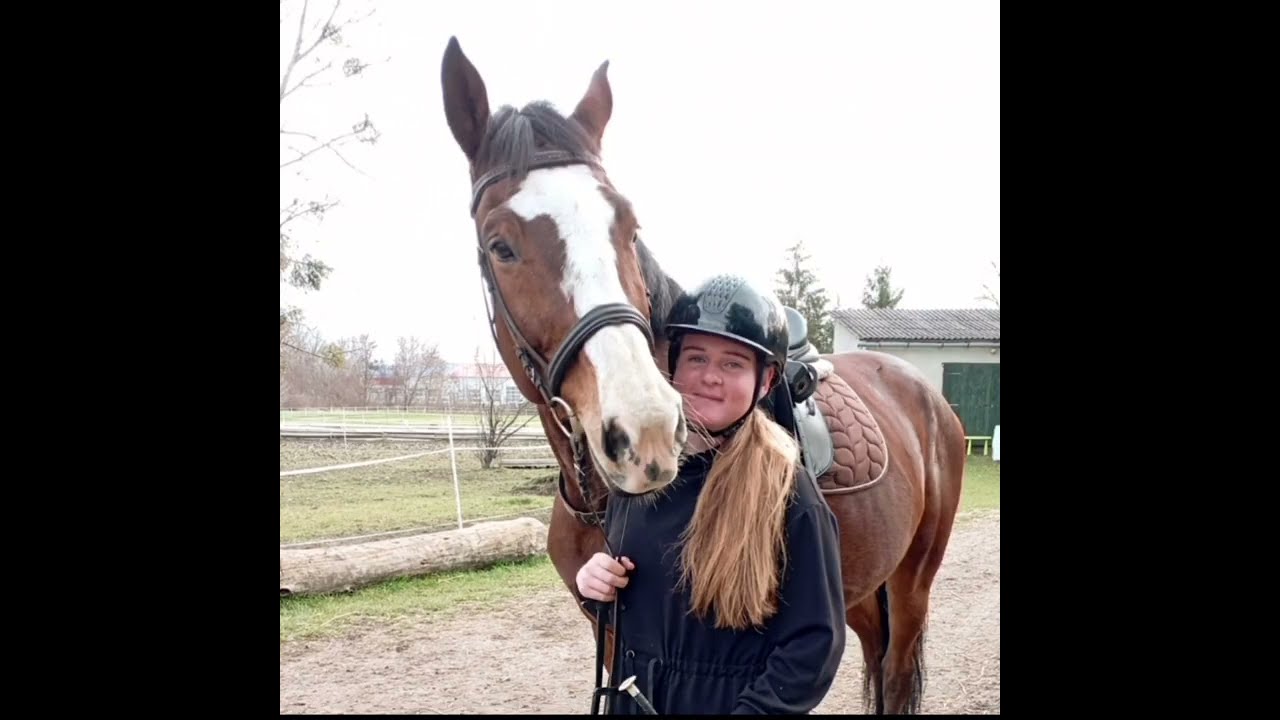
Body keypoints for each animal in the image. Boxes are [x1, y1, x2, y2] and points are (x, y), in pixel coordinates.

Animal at [440, 37, 967, 715]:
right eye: (500, 245)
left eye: (629, 227)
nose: (646, 432)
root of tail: (925, 394)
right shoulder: (611, 631)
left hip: (912, 580)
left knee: (897, 673)